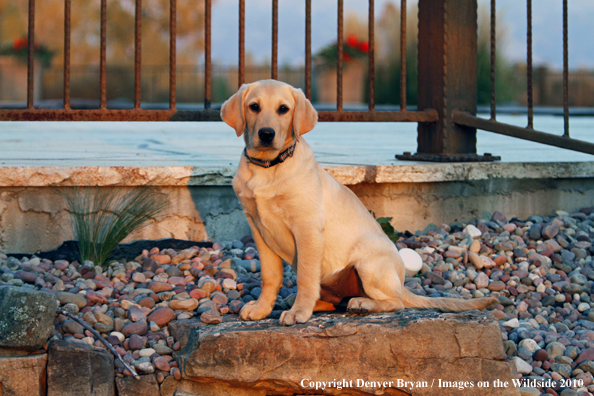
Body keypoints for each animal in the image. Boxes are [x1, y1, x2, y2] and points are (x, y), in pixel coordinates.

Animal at [220, 78, 492, 324]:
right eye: (254, 106)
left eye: (283, 109)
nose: (266, 134)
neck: (268, 167)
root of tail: (401, 282)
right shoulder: (258, 228)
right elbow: (270, 276)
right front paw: (261, 309)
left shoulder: (307, 226)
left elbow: (305, 276)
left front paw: (299, 313)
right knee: (332, 300)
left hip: (368, 263)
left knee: (395, 302)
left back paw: (361, 304)